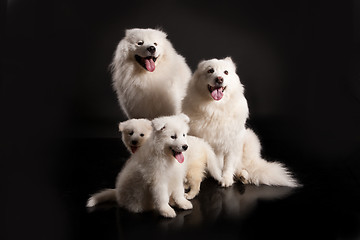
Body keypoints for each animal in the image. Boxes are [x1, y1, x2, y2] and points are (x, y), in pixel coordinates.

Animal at [183, 57, 298, 188]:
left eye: (226, 72)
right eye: (210, 70)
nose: (219, 79)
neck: (215, 109)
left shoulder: (232, 143)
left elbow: (228, 165)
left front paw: (226, 179)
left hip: (250, 139)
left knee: (242, 167)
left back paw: (243, 176)